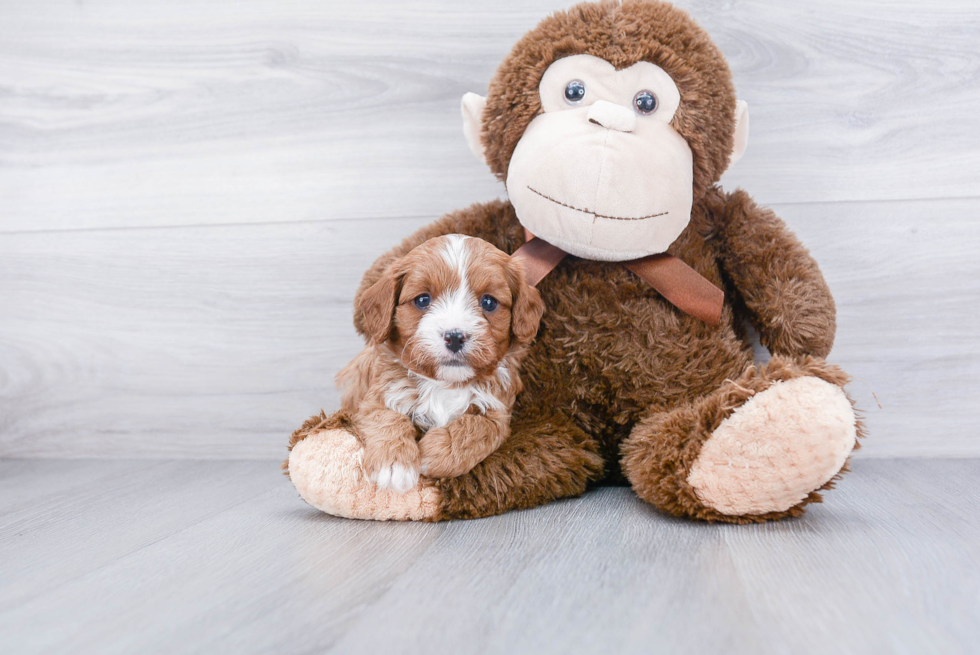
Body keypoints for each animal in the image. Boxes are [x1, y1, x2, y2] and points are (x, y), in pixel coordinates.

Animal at [338, 233, 544, 494]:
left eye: (488, 302)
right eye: (422, 300)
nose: (455, 336)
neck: (444, 383)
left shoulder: (498, 412)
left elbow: (476, 427)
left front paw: (433, 453)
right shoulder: (374, 396)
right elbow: (386, 417)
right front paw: (394, 464)